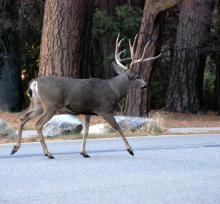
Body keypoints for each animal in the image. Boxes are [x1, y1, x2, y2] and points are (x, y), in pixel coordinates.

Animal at [11, 33, 161, 158]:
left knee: (23, 117)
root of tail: (35, 82)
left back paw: (15, 148)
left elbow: (86, 131)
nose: (145, 85)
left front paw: (84, 152)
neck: (115, 90)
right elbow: (117, 127)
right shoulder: (105, 109)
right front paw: (130, 150)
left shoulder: (87, 111)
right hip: (51, 105)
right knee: (37, 124)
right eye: (137, 76)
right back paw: (48, 153)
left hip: (38, 104)